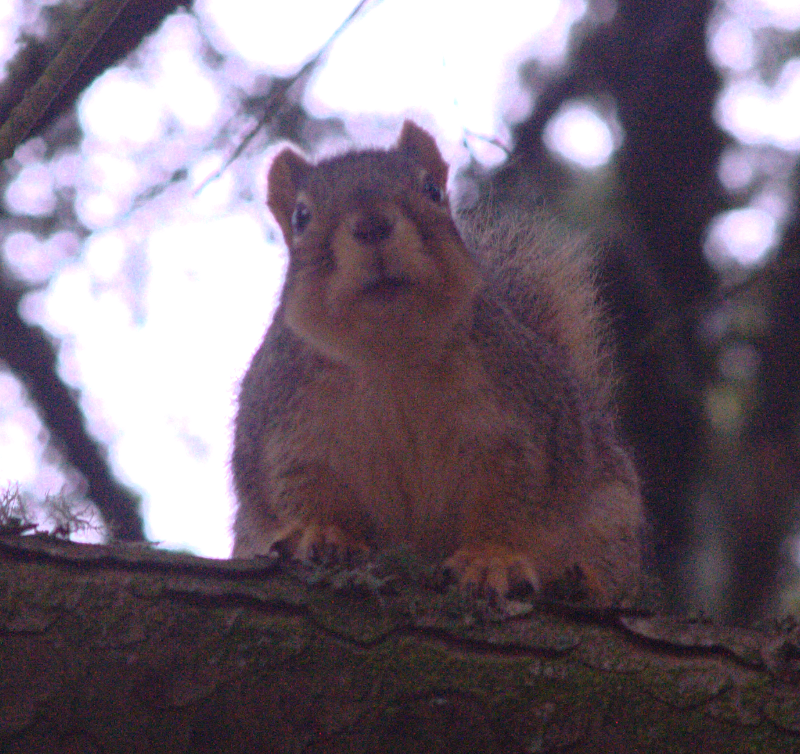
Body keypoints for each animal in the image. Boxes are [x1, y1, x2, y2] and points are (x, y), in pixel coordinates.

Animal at [231, 120, 643, 603]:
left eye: (431, 190)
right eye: (300, 217)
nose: (373, 225)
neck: (389, 352)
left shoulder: (517, 424)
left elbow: (510, 499)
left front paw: (489, 559)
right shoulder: (286, 429)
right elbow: (299, 489)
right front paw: (324, 532)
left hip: (610, 514)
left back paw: (587, 582)